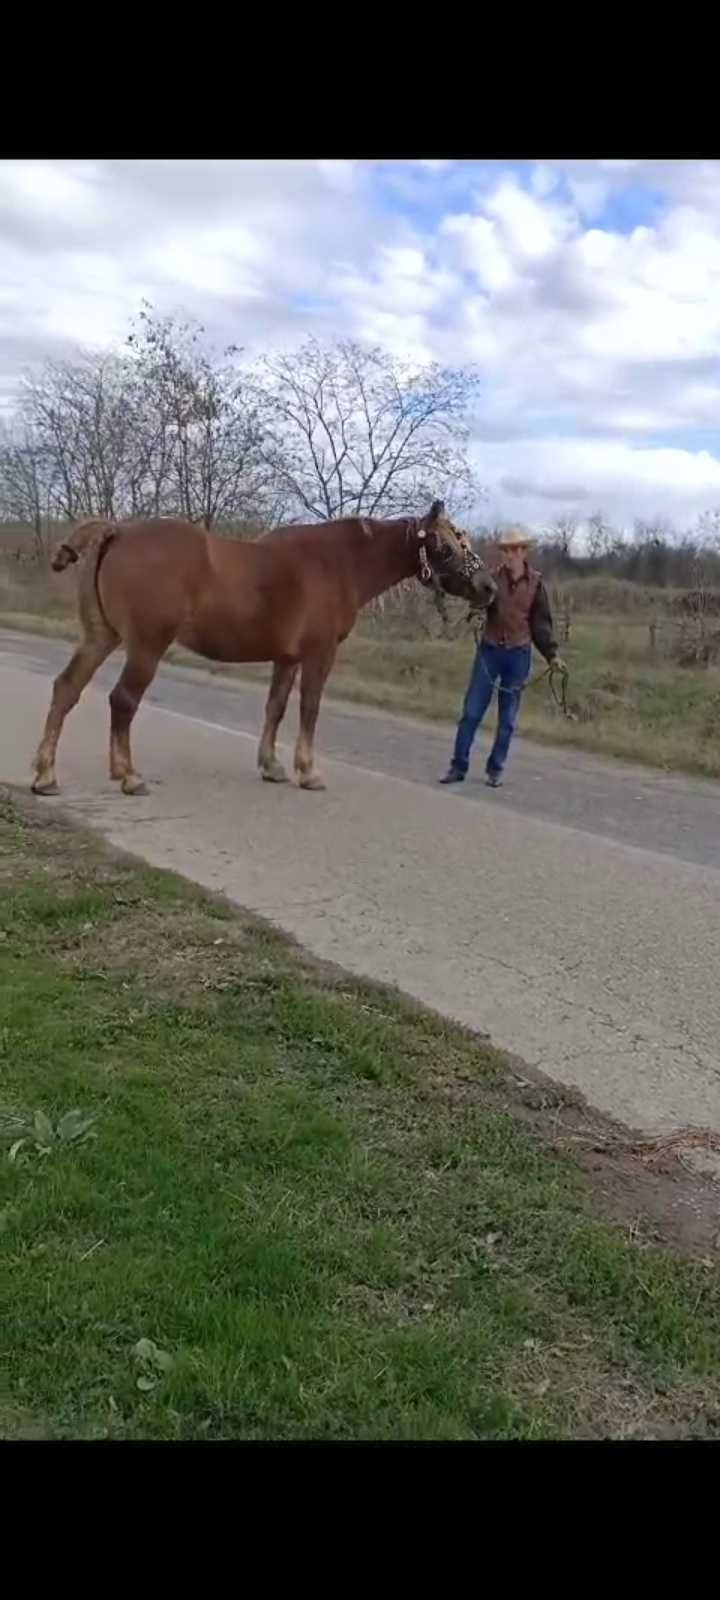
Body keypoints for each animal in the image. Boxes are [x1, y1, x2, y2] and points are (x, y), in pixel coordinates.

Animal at [32, 499, 496, 793]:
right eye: (445, 545)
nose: (488, 588)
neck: (339, 564)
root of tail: (119, 531)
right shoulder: (319, 654)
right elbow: (309, 708)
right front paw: (308, 772)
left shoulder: (287, 658)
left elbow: (276, 708)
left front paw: (272, 767)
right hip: (146, 647)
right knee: (123, 700)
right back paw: (128, 776)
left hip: (101, 638)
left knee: (66, 689)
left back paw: (45, 776)